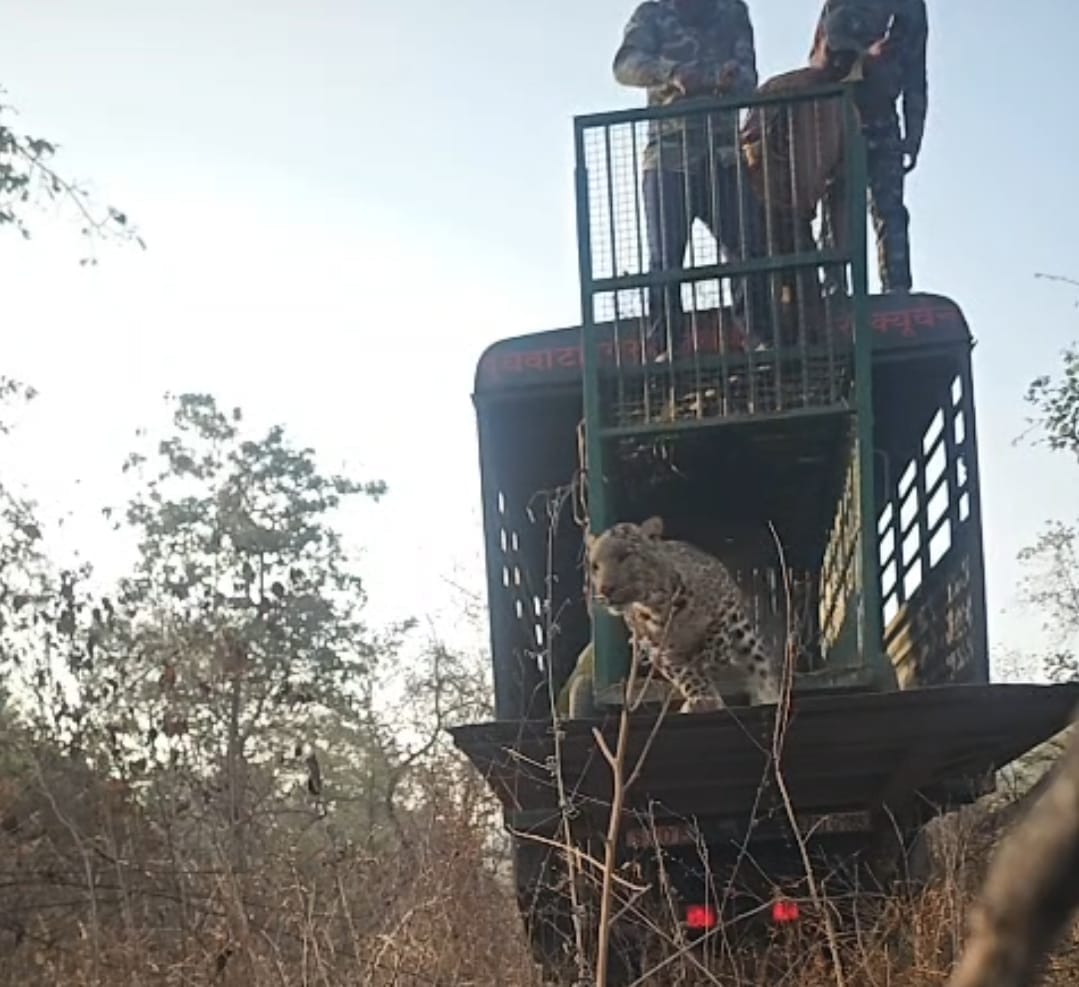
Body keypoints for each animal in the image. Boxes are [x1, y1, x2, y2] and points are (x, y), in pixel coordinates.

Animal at [585, 515, 782, 712]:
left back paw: (769, 694)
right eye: (595, 566)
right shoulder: (662, 652)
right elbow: (688, 676)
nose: (605, 590)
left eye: (625, 556)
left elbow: (717, 640)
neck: (656, 606)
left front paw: (709, 658)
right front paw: (703, 698)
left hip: (745, 634)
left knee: (760, 666)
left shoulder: (726, 605)